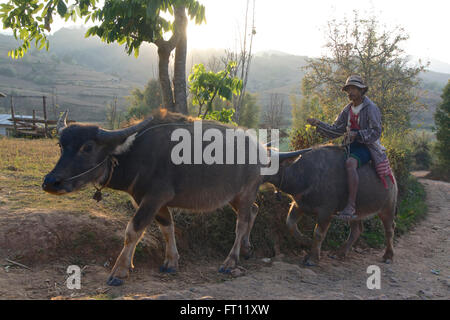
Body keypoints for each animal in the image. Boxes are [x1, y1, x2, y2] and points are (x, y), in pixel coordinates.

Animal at [43, 109, 302, 284]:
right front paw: (171, 262)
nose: (51, 182)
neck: (135, 154)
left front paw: (119, 270)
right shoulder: (152, 201)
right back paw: (246, 249)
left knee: (241, 223)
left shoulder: (154, 197)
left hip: (246, 191)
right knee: (254, 211)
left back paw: (230, 261)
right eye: (60, 146)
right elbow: (167, 227)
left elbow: (133, 230)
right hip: (234, 197)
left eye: (87, 147)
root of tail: (262, 151)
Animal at [264, 145, 398, 264]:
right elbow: (290, 223)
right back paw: (340, 253)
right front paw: (306, 241)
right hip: (356, 212)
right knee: (357, 229)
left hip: (388, 208)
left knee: (390, 229)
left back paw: (388, 256)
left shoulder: (326, 211)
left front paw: (312, 258)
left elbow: (318, 233)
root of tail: (392, 175)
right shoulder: (299, 205)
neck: (305, 175)